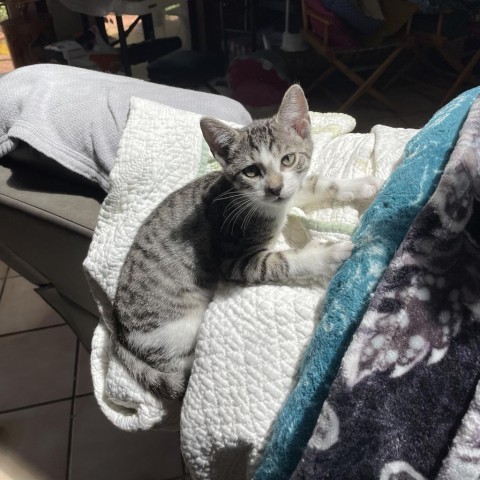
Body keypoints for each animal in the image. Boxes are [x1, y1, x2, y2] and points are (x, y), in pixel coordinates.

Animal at [111, 84, 378, 400]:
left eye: (288, 159)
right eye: (251, 171)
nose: (275, 188)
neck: (255, 204)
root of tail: (118, 330)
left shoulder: (287, 197)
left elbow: (313, 184)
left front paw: (357, 185)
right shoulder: (233, 260)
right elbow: (281, 261)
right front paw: (327, 254)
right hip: (177, 327)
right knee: (179, 372)